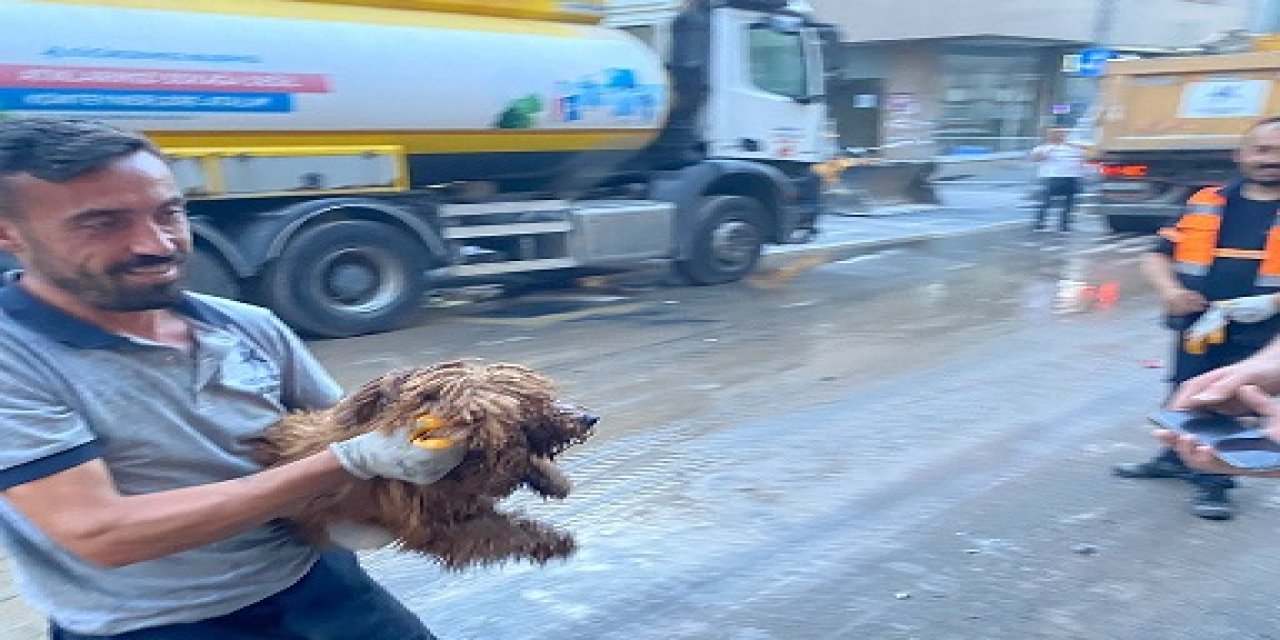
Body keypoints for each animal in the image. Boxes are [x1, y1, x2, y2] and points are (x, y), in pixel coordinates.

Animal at [257, 360, 601, 570]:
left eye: (543, 396)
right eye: (532, 405)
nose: (589, 417)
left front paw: (552, 479)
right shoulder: (434, 524)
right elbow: (500, 531)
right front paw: (553, 541)